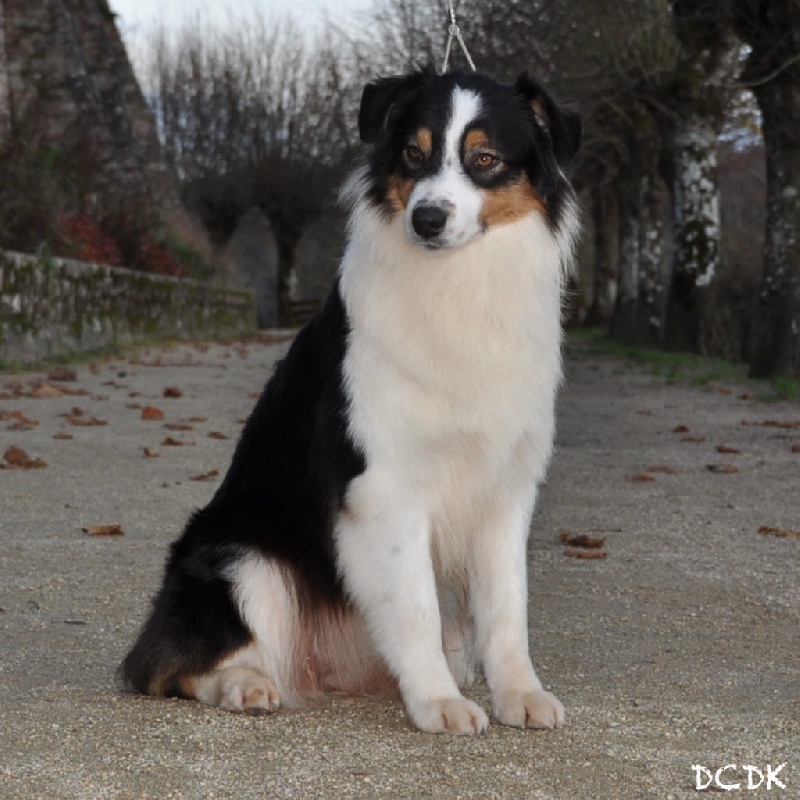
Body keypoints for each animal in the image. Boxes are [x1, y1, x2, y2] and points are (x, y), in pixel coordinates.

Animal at [121, 68, 581, 735]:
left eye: (485, 159)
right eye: (413, 152)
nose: (428, 219)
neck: (456, 287)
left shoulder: (505, 488)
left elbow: (506, 608)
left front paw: (519, 693)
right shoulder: (383, 486)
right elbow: (416, 609)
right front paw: (439, 703)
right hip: (241, 554)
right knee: (167, 666)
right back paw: (244, 684)